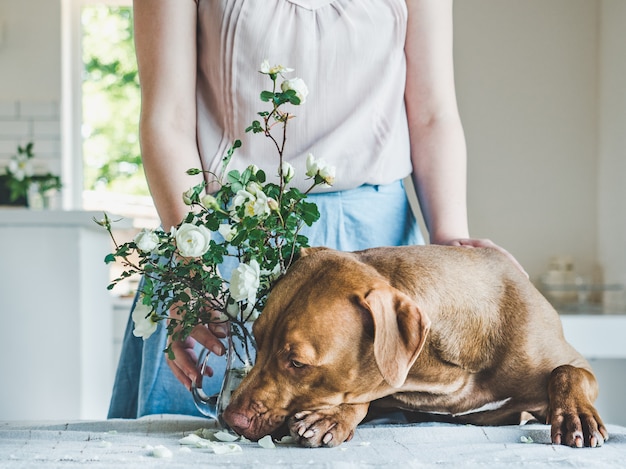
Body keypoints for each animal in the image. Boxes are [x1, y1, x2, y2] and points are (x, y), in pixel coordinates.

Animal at [222, 245, 608, 446]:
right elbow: (364, 399)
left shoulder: (574, 365)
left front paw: (576, 415)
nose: (230, 418)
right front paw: (334, 416)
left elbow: (568, 371)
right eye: (257, 339)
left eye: (297, 363)